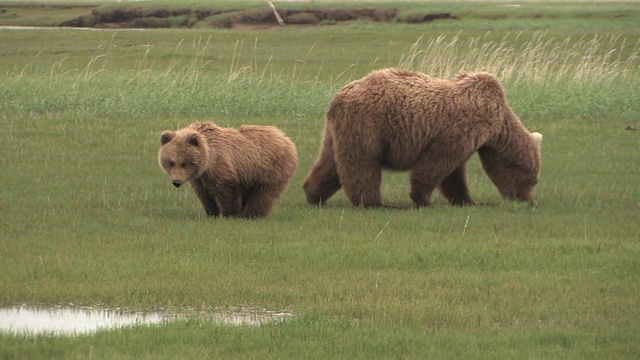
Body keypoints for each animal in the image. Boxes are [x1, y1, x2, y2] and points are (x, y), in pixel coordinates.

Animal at [160, 121, 300, 217]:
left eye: (185, 163)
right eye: (171, 162)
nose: (176, 182)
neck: (207, 159)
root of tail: (285, 138)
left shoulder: (221, 165)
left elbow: (227, 189)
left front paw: (229, 213)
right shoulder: (200, 178)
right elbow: (205, 195)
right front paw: (212, 212)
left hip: (270, 167)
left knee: (264, 192)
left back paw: (251, 214)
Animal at [302, 68, 544, 207]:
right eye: (531, 179)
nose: (528, 201)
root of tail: (339, 96)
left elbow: (455, 173)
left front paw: (469, 200)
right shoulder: (465, 126)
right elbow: (437, 162)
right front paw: (422, 198)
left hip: (337, 130)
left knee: (329, 162)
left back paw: (313, 194)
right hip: (368, 124)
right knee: (362, 163)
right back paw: (373, 202)